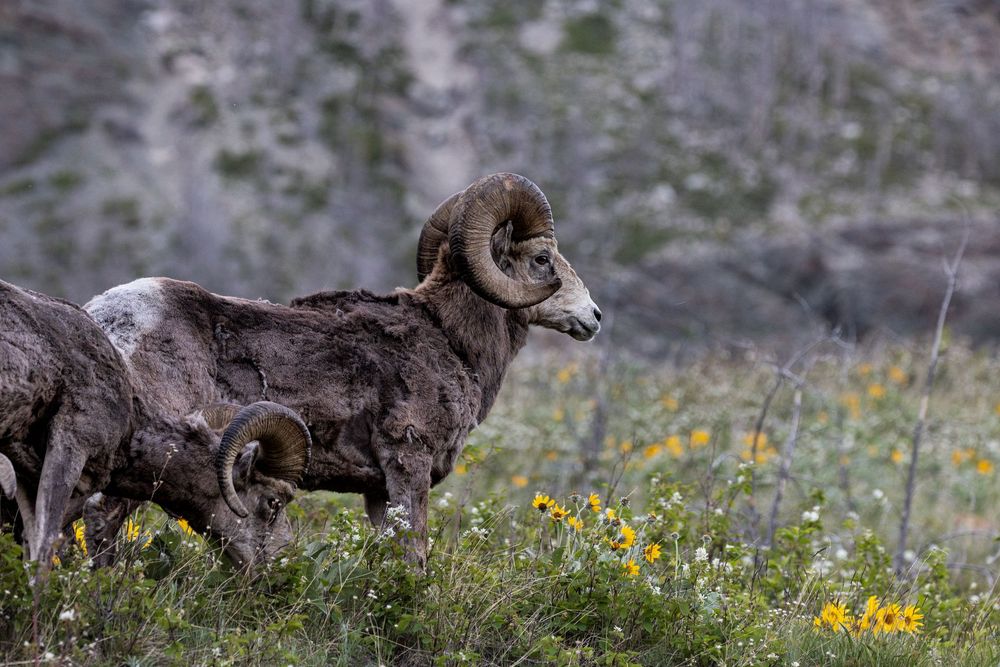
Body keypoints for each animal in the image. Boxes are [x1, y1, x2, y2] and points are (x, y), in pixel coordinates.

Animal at [84, 173, 601, 567]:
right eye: (542, 259)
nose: (594, 317)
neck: (450, 340)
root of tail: (106, 319)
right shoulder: (407, 464)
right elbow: (415, 556)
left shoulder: (378, 492)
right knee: (102, 515)